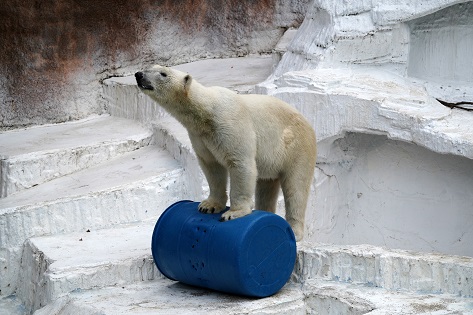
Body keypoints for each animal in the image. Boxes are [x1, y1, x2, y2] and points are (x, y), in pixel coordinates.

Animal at [135, 65, 316, 241]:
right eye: (149, 67)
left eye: (163, 73)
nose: (139, 75)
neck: (205, 112)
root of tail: (309, 125)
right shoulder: (200, 136)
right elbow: (211, 167)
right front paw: (208, 206)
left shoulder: (230, 124)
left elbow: (240, 163)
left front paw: (233, 213)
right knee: (266, 186)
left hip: (297, 148)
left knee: (296, 187)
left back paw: (294, 230)